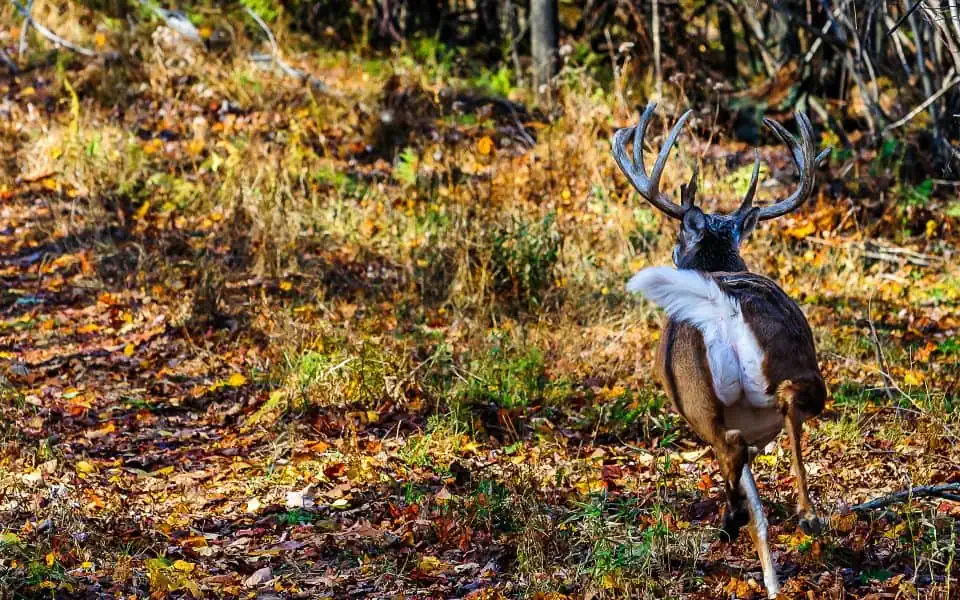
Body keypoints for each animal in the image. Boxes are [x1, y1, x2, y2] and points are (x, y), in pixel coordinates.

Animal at [616, 104, 832, 600]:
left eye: (678, 239)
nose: (675, 256)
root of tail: (723, 303)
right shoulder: (754, 423)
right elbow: (760, 509)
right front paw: (771, 576)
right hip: (797, 360)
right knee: (793, 402)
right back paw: (806, 515)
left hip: (696, 395)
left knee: (727, 448)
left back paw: (728, 523)